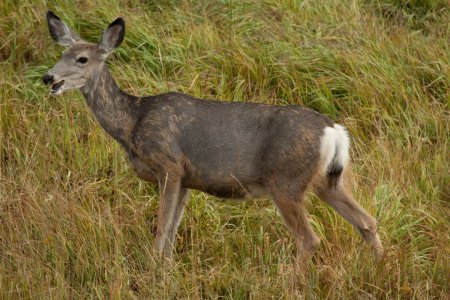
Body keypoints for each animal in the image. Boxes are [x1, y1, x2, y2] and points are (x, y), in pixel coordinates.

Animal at [42, 10, 384, 266]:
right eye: (62, 53)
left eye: (83, 59)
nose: (49, 77)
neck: (132, 123)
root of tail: (334, 131)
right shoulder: (186, 179)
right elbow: (171, 233)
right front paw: (167, 269)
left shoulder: (169, 164)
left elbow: (161, 231)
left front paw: (155, 270)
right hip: (328, 180)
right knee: (367, 221)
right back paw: (380, 266)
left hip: (285, 180)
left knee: (309, 240)